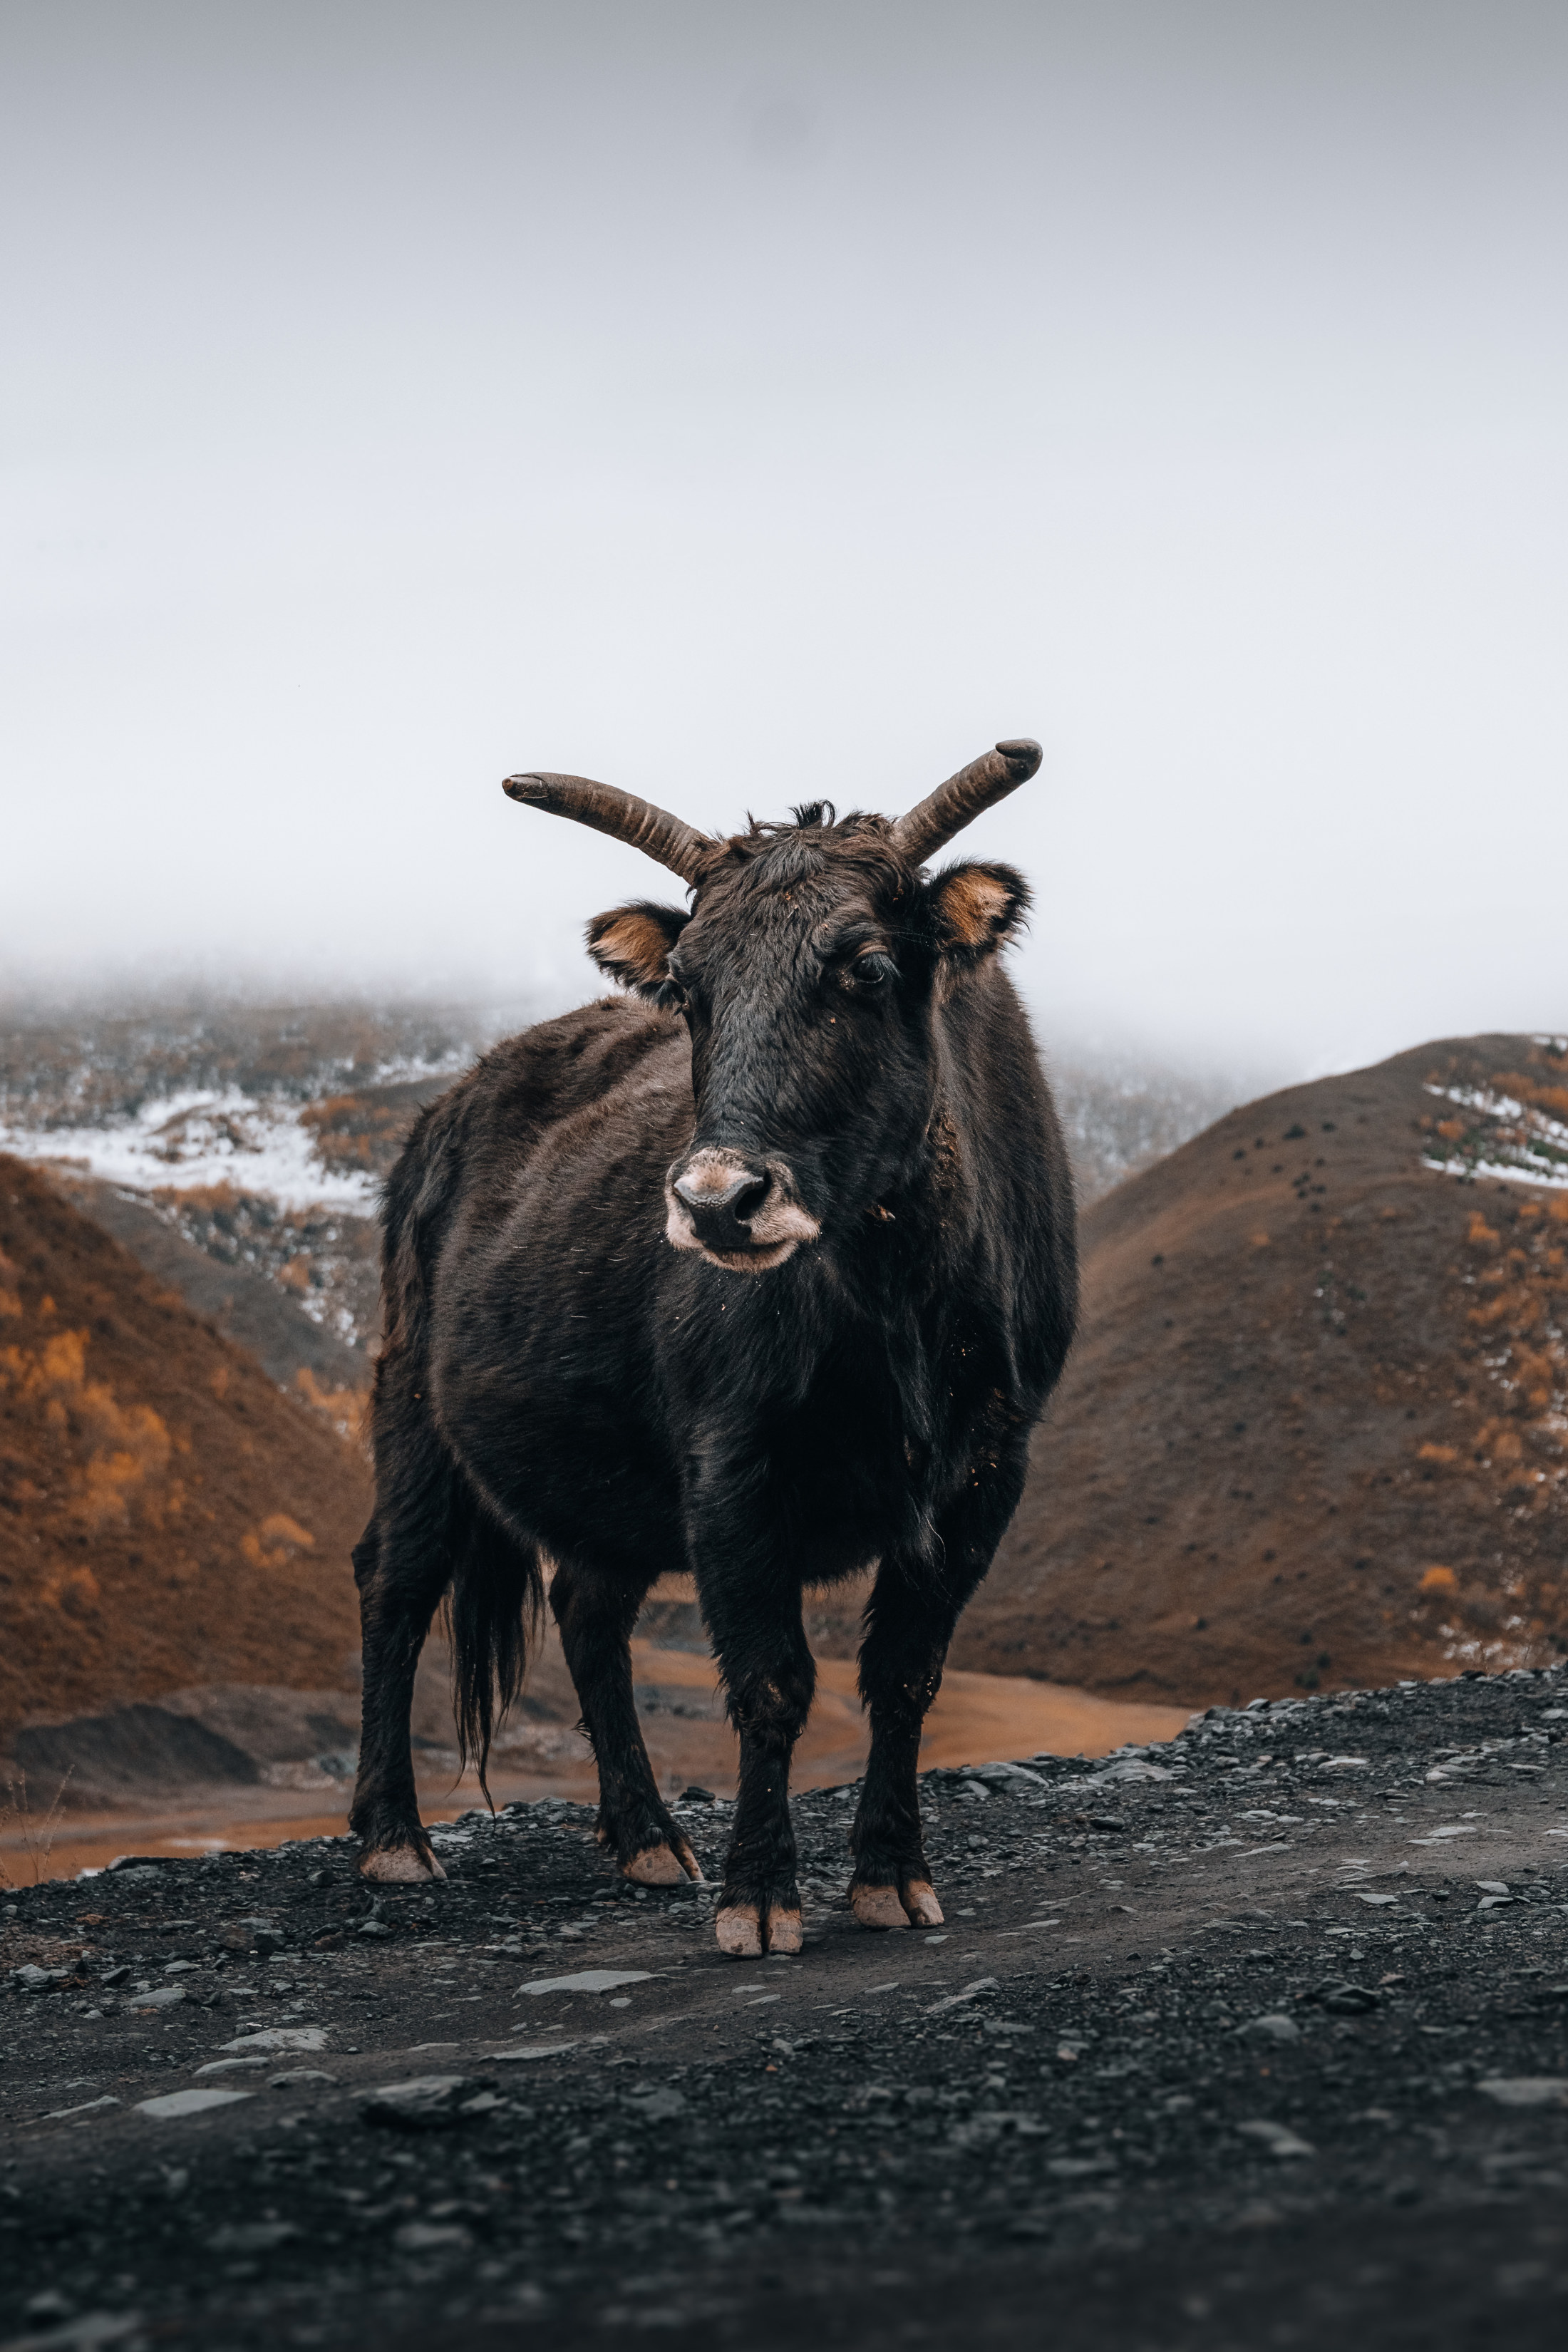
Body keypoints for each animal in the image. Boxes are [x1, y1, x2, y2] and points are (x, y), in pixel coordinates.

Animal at [348, 738, 1078, 1956]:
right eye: (689, 987)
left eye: (867, 968)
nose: (716, 1202)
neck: (893, 1288)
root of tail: (455, 1101)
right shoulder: (731, 1459)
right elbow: (772, 1680)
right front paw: (760, 1900)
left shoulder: (989, 1467)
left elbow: (906, 1673)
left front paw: (892, 1878)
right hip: (414, 1410)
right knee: (396, 1582)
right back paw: (393, 1840)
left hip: (598, 1474)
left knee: (589, 1614)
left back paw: (647, 1840)